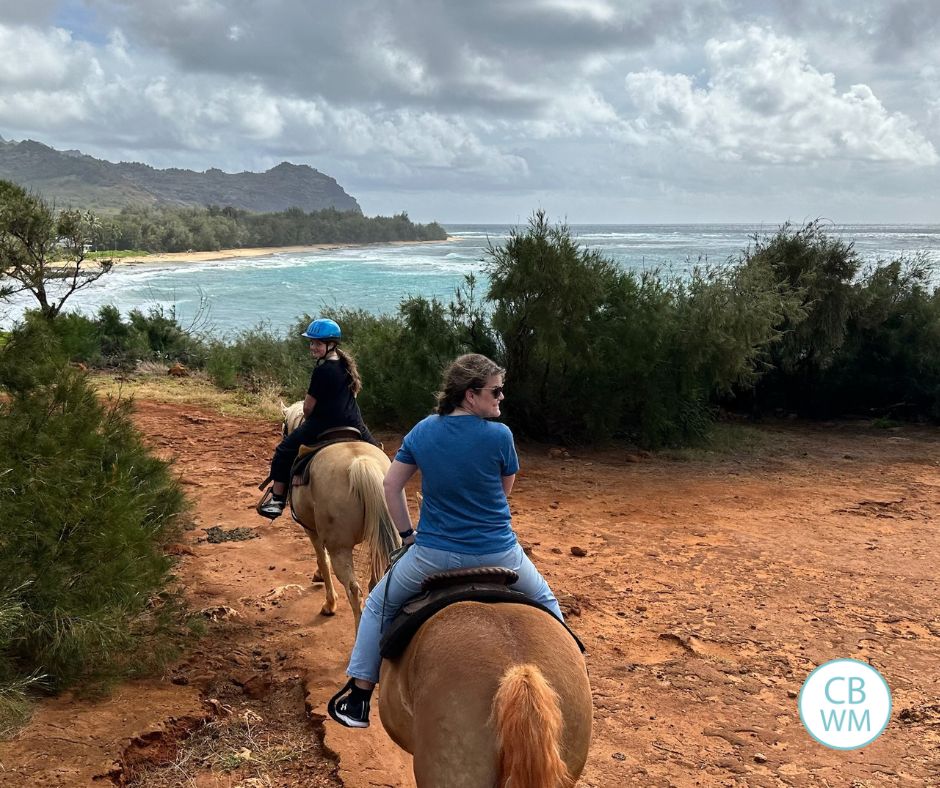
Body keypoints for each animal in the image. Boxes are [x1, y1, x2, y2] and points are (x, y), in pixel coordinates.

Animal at [280, 404, 396, 632]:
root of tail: (361, 463)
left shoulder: (311, 529)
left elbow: (322, 558)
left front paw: (329, 603)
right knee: (378, 580)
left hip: (339, 548)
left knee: (353, 589)